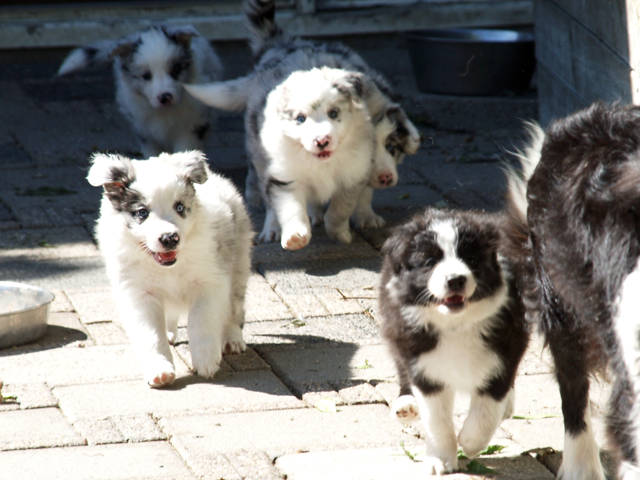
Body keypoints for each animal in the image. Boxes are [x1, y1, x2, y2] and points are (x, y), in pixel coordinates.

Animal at [58, 25, 223, 157]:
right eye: (146, 76)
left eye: (175, 70)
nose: (165, 97)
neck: (165, 112)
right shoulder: (146, 133)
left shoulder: (191, 128)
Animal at [87, 150, 253, 387]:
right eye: (142, 213)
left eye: (180, 207)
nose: (170, 238)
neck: (169, 266)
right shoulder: (139, 293)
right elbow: (151, 334)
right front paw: (160, 370)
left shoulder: (210, 281)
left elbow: (201, 321)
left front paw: (205, 360)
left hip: (238, 263)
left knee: (234, 307)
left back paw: (232, 339)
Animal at [184, 0, 420, 239]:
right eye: (375, 151)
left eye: (392, 147)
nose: (385, 178)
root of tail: (281, 44)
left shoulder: (356, 171)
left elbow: (360, 194)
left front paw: (366, 217)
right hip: (261, 149)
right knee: (267, 189)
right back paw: (272, 225)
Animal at [379, 207, 529, 474]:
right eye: (429, 262)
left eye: (471, 259)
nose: (456, 280)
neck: (456, 324)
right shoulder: (423, 363)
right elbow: (436, 420)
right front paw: (440, 459)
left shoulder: (504, 353)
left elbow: (487, 409)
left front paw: (470, 442)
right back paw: (406, 404)